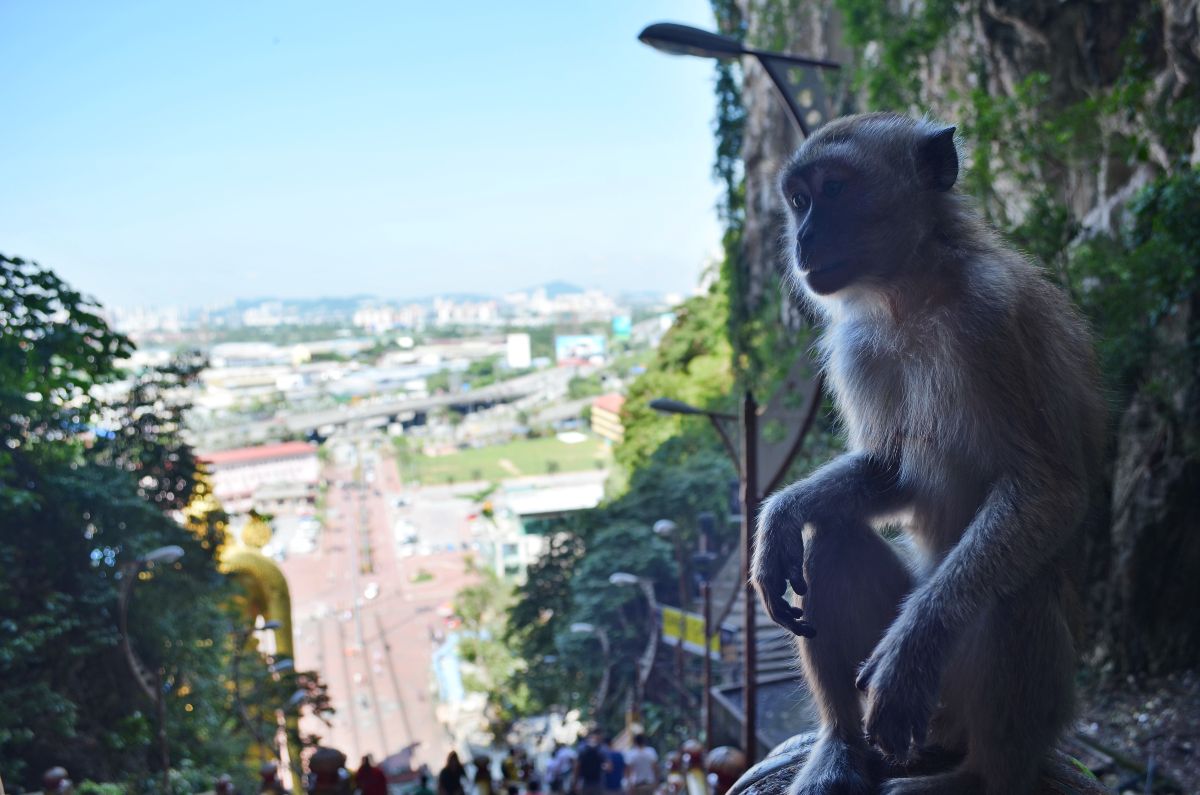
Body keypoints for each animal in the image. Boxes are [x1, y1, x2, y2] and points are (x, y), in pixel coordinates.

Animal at [750, 113, 1104, 795]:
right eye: (799, 201)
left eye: (834, 189)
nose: (802, 239)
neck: (908, 294)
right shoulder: (857, 344)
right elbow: (889, 472)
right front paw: (781, 515)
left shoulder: (994, 318)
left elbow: (1046, 487)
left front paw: (913, 648)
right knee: (833, 537)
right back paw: (843, 745)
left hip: (990, 696)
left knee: (1014, 590)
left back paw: (980, 777)